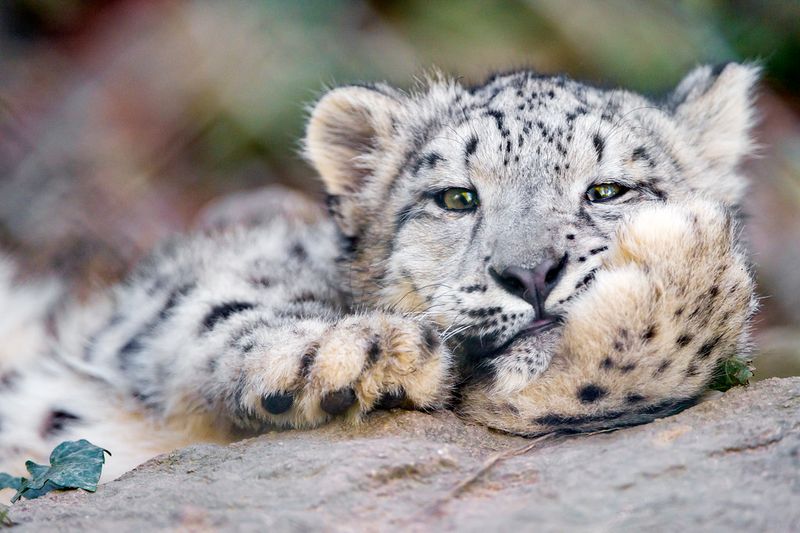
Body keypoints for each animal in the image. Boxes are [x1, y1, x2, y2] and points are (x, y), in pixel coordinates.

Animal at [0, 62, 759, 496]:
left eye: (607, 189)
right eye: (456, 197)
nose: (531, 272)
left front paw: (687, 260)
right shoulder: (164, 299)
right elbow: (217, 305)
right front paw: (355, 354)